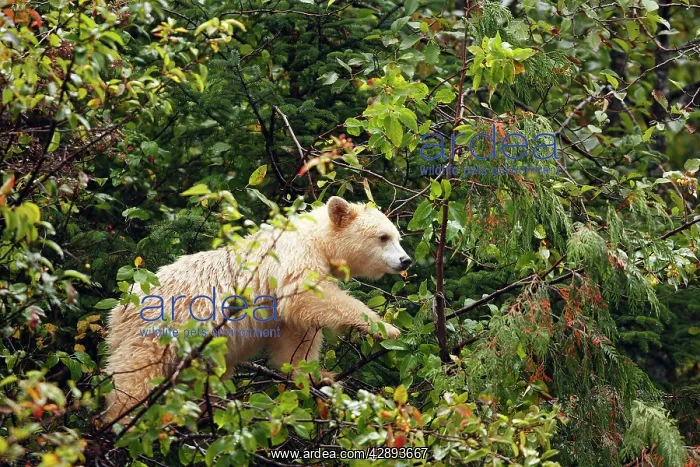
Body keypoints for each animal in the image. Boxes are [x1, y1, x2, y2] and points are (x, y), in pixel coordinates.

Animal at [103, 196, 411, 423]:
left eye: (397, 236)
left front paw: (317, 376)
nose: (405, 260)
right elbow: (306, 298)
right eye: (383, 237)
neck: (315, 239)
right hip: (157, 331)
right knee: (134, 378)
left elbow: (295, 339)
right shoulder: (292, 261)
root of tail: (119, 310)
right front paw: (387, 328)